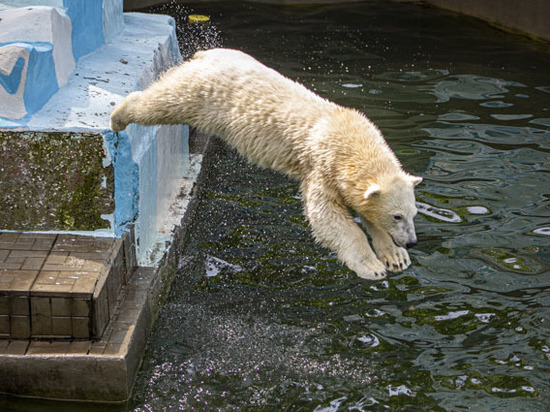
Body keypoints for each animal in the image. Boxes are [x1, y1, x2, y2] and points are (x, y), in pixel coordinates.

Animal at [111, 48, 422, 280]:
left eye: (413, 214)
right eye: (397, 215)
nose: (411, 242)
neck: (351, 142)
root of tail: (207, 53)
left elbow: (366, 215)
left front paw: (396, 257)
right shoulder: (322, 167)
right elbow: (328, 218)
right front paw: (372, 267)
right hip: (204, 93)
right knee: (166, 101)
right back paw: (119, 116)